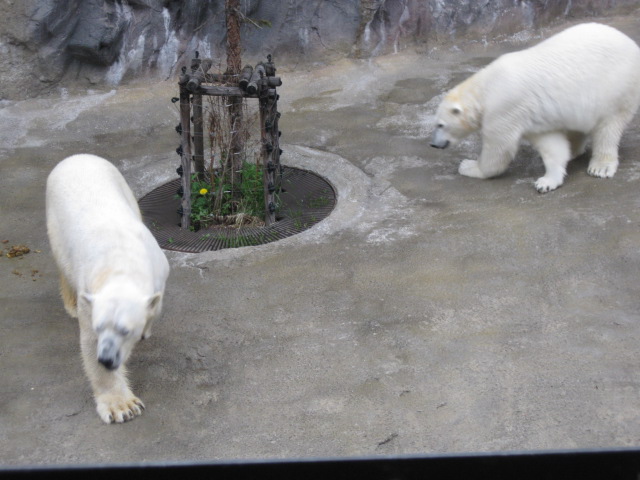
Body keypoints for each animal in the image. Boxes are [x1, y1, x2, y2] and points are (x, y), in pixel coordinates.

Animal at [46, 154, 170, 424]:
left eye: (126, 330)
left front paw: (147, 329)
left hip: (124, 188)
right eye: (99, 327)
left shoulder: (160, 271)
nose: (106, 359)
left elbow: (155, 306)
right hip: (54, 219)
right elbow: (88, 342)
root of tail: (76, 157)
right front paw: (122, 406)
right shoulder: (89, 295)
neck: (121, 263)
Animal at [430, 23, 640, 193]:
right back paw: (574, 150)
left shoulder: (504, 108)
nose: (434, 144)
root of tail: (632, 44)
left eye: (440, 125)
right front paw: (547, 182)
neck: (485, 87)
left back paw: (600, 166)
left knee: (609, 127)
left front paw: (469, 166)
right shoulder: (529, 117)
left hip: (615, 87)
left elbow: (499, 147)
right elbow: (551, 145)